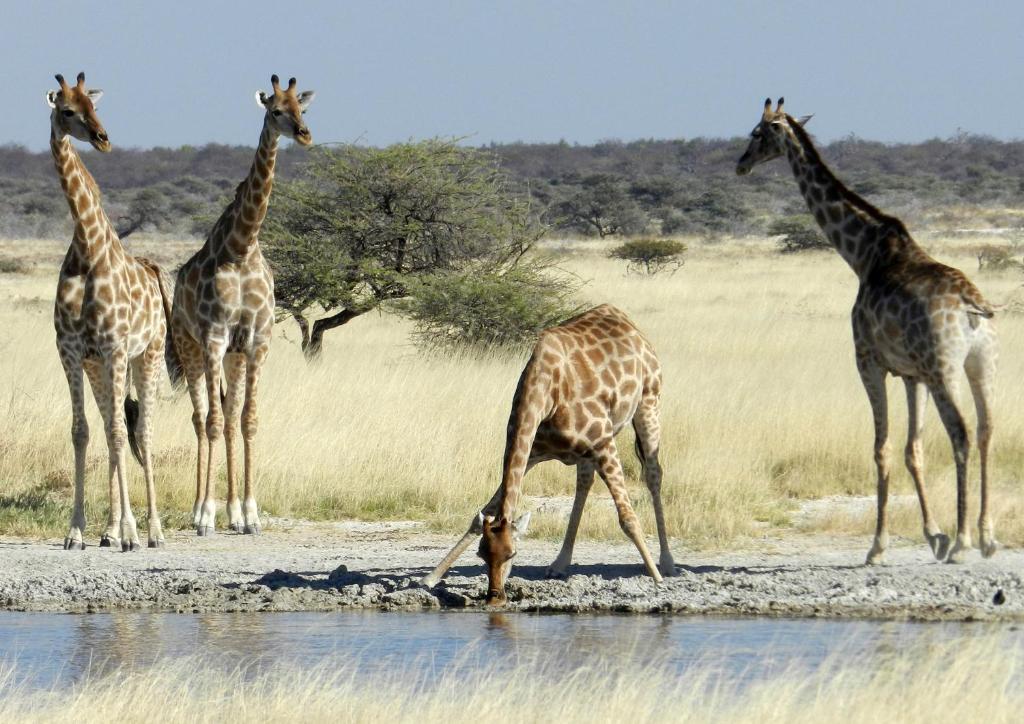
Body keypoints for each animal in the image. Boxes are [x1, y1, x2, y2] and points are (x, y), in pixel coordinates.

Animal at [47, 72, 172, 548]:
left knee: (142, 431)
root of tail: (154, 270)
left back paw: (152, 531)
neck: (87, 248)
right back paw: (110, 530)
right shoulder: (71, 350)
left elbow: (122, 433)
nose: (103, 138)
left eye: (95, 106)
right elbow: (82, 432)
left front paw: (133, 534)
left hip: (147, 355)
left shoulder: (116, 348)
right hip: (98, 365)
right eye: (67, 110)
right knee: (109, 427)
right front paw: (77, 532)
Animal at [169, 73, 313, 536]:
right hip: (190, 348)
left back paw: (231, 511)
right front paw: (206, 516)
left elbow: (247, 420)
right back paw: (200, 510)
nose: (304, 134)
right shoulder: (214, 337)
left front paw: (249, 513)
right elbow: (212, 422)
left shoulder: (256, 339)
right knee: (202, 419)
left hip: (232, 355)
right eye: (276, 110)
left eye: (303, 108)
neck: (241, 247)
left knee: (229, 419)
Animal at [419, 305, 675, 606]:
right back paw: (560, 563)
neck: (546, 394)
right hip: (587, 451)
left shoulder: (604, 442)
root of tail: (626, 321)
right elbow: (483, 514)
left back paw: (667, 563)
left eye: (513, 554)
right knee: (584, 484)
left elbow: (628, 518)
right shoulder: (533, 450)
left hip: (648, 404)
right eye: (481, 554)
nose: (495, 598)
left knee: (653, 474)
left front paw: (656, 579)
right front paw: (431, 577)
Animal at [737, 97, 999, 565]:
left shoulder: (868, 361)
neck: (863, 254)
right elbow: (913, 450)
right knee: (987, 430)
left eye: (757, 133)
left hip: (945, 368)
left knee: (962, 433)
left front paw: (879, 546)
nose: (740, 164)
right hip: (979, 362)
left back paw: (964, 542)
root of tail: (973, 304)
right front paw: (933, 535)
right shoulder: (912, 374)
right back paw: (986, 537)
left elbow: (882, 448)